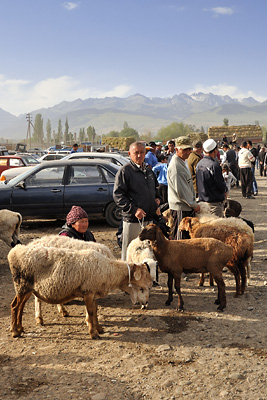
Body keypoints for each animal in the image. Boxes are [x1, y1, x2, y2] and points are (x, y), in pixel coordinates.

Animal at [7, 245, 153, 340]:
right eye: (142, 288)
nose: (146, 303)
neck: (108, 271)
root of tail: (14, 251)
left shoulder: (92, 292)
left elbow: (96, 311)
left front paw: (100, 329)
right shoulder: (88, 291)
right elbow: (91, 312)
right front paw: (93, 334)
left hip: (27, 289)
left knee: (20, 307)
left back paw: (20, 328)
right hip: (22, 285)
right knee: (15, 306)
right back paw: (15, 332)